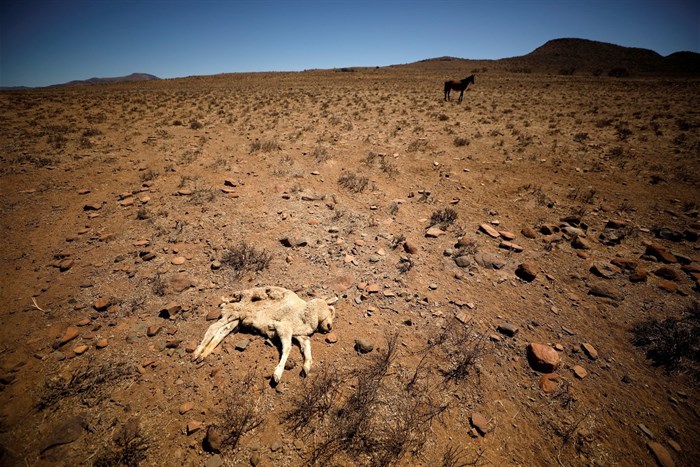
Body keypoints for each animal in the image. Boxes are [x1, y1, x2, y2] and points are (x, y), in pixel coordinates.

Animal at [192, 286, 335, 383]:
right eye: (331, 310)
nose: (329, 327)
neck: (304, 313)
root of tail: (225, 305)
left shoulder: (300, 336)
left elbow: (307, 350)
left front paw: (306, 368)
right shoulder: (283, 328)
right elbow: (287, 348)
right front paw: (277, 374)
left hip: (234, 319)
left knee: (220, 332)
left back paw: (203, 355)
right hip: (234, 312)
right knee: (213, 328)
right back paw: (196, 354)